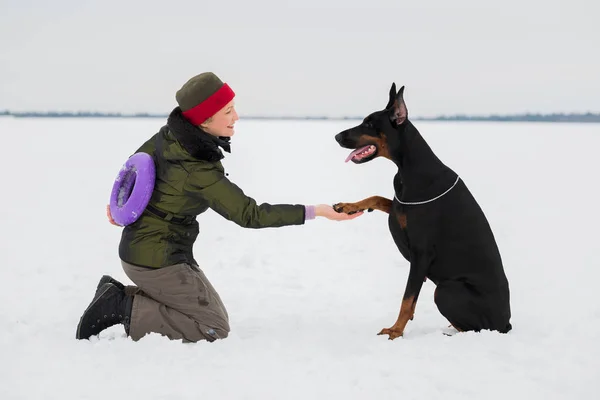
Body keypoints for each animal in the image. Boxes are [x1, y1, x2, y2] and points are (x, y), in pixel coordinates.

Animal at [332, 84, 510, 340]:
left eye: (369, 124)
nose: (336, 137)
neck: (410, 167)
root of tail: (506, 323)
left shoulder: (421, 253)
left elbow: (407, 299)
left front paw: (395, 331)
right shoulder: (399, 208)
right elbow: (378, 198)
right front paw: (348, 206)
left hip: (447, 289)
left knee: (475, 328)